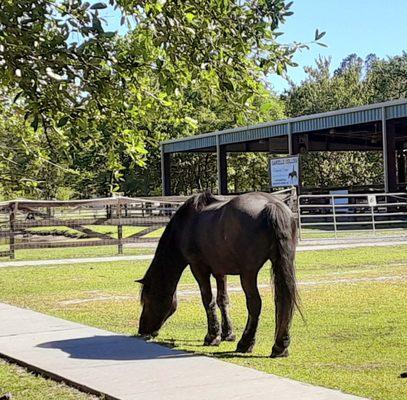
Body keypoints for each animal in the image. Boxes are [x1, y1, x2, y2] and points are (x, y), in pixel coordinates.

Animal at [137, 192, 300, 358]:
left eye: (147, 300)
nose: (142, 330)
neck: (185, 225)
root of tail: (271, 204)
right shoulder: (220, 271)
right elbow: (223, 300)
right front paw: (227, 334)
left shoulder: (198, 268)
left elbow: (208, 300)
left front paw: (212, 336)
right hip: (282, 263)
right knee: (283, 300)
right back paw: (280, 346)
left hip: (248, 273)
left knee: (255, 304)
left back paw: (246, 343)